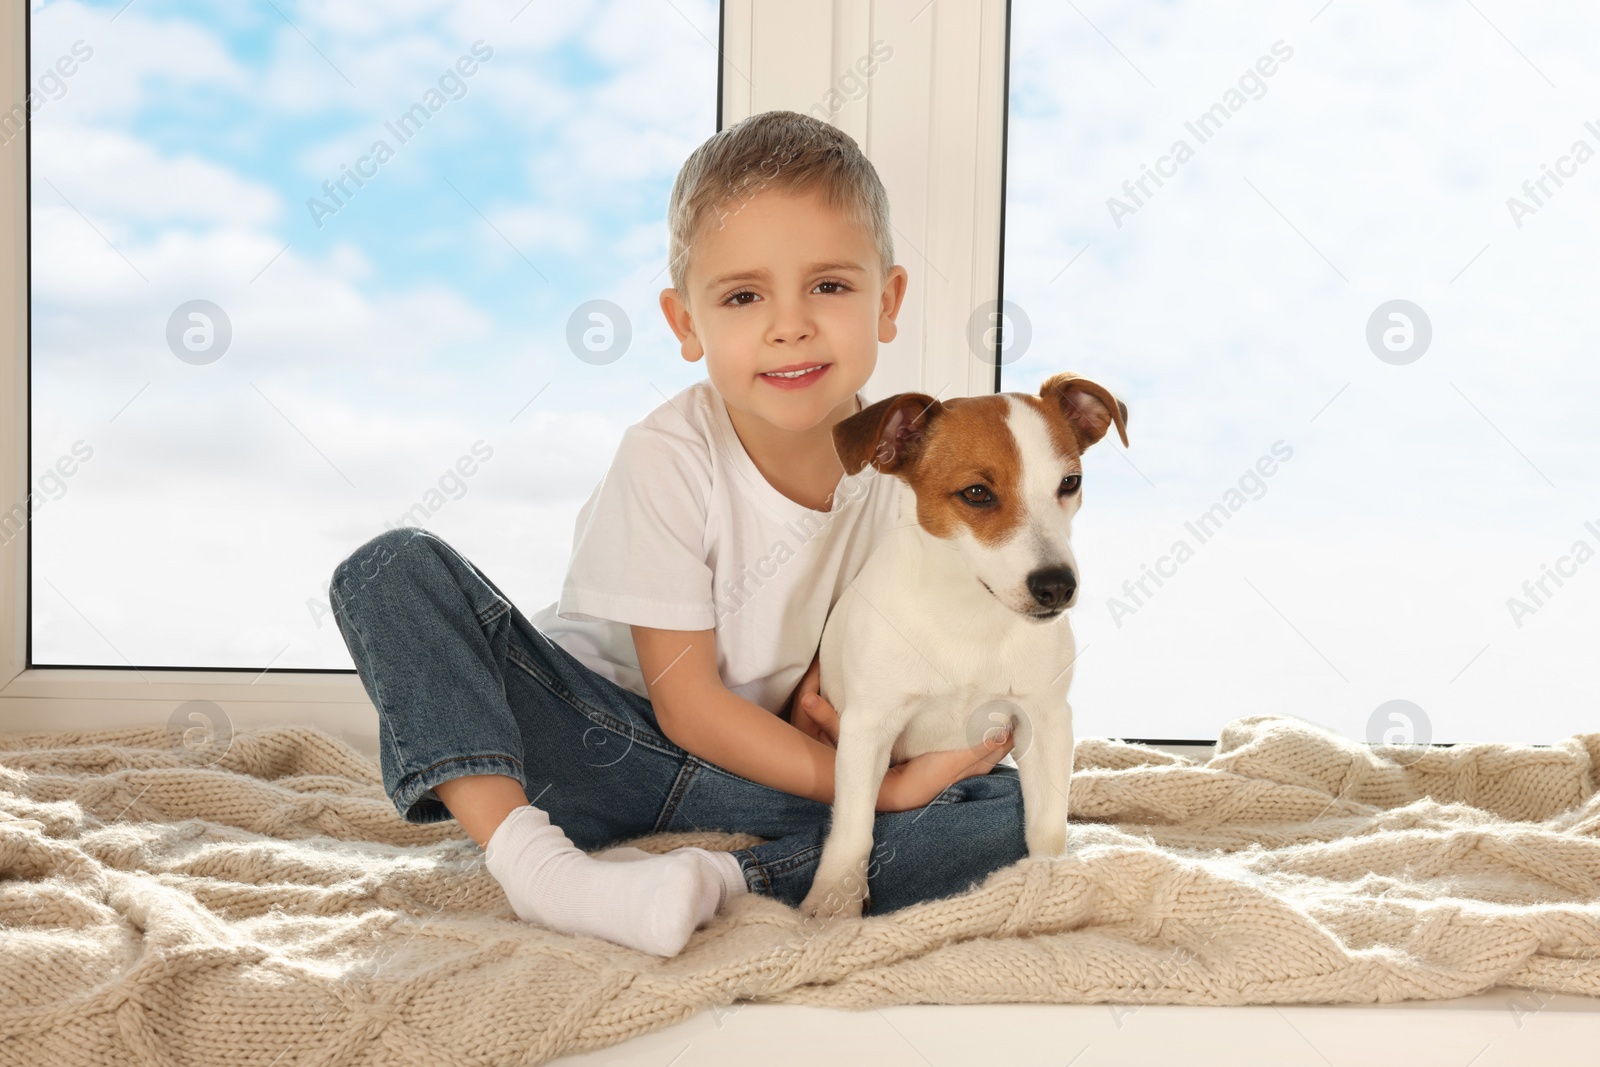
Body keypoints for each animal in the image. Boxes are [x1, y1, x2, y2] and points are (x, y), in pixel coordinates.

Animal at [796, 369, 1126, 921]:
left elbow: (1046, 824)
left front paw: (1048, 885)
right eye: (976, 493)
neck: (973, 617)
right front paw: (834, 899)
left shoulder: (1046, 721)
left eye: (1069, 483)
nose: (1057, 586)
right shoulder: (868, 727)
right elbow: (854, 826)